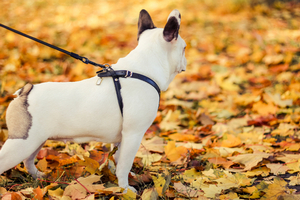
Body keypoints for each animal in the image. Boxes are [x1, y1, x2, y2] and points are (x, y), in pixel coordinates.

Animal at [0, 8, 186, 191]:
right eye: (184, 48)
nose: (186, 60)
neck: (141, 70)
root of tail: (25, 92)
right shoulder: (133, 134)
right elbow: (124, 164)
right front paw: (125, 189)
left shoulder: (122, 137)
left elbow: (117, 159)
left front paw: (122, 180)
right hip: (22, 141)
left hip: (35, 140)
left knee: (28, 160)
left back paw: (39, 176)